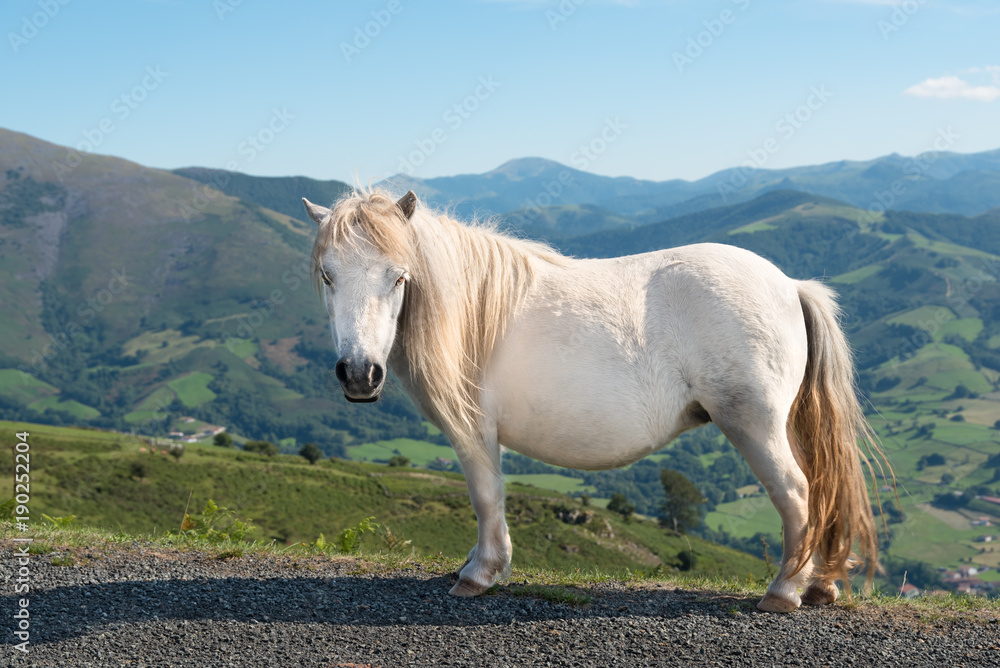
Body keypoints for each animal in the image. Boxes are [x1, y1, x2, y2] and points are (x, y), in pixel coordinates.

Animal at [300, 187, 888, 612]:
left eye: (398, 277)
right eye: (327, 276)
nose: (359, 374)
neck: (473, 312)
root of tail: (790, 284)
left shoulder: (473, 432)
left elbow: (485, 496)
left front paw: (480, 573)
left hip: (754, 424)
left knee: (796, 494)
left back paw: (784, 592)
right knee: (822, 490)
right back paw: (820, 585)